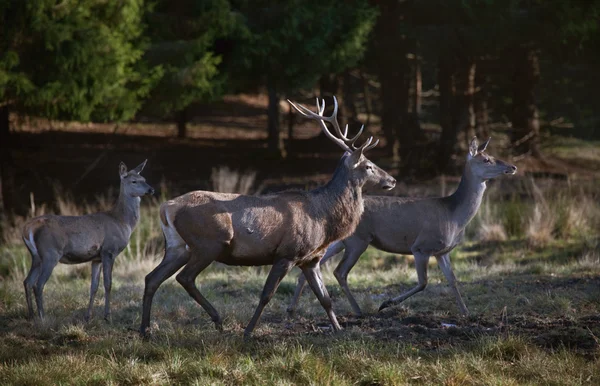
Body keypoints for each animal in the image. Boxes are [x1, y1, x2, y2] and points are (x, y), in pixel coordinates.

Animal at [22, 160, 155, 320]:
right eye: (134, 181)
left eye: (144, 179)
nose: (151, 189)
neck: (122, 221)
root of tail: (28, 228)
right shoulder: (109, 250)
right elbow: (108, 283)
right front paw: (107, 316)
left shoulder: (96, 258)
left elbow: (94, 286)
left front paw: (88, 316)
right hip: (50, 253)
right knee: (38, 284)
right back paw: (42, 317)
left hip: (36, 256)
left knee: (27, 281)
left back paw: (31, 315)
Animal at [138, 96, 396, 338]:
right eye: (369, 166)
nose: (392, 180)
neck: (324, 219)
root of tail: (167, 207)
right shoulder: (287, 253)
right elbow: (266, 295)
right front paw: (248, 332)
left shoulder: (310, 259)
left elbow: (325, 298)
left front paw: (339, 330)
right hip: (208, 243)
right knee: (185, 278)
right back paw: (217, 319)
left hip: (177, 246)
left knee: (152, 278)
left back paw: (145, 331)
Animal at [286, 137, 516, 318]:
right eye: (486, 160)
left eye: (492, 155)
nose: (512, 167)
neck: (454, 215)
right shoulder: (421, 246)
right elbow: (423, 282)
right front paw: (386, 303)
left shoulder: (443, 251)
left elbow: (453, 281)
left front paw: (466, 313)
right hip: (358, 240)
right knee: (339, 271)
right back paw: (358, 310)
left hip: (339, 242)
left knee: (309, 268)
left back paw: (292, 309)